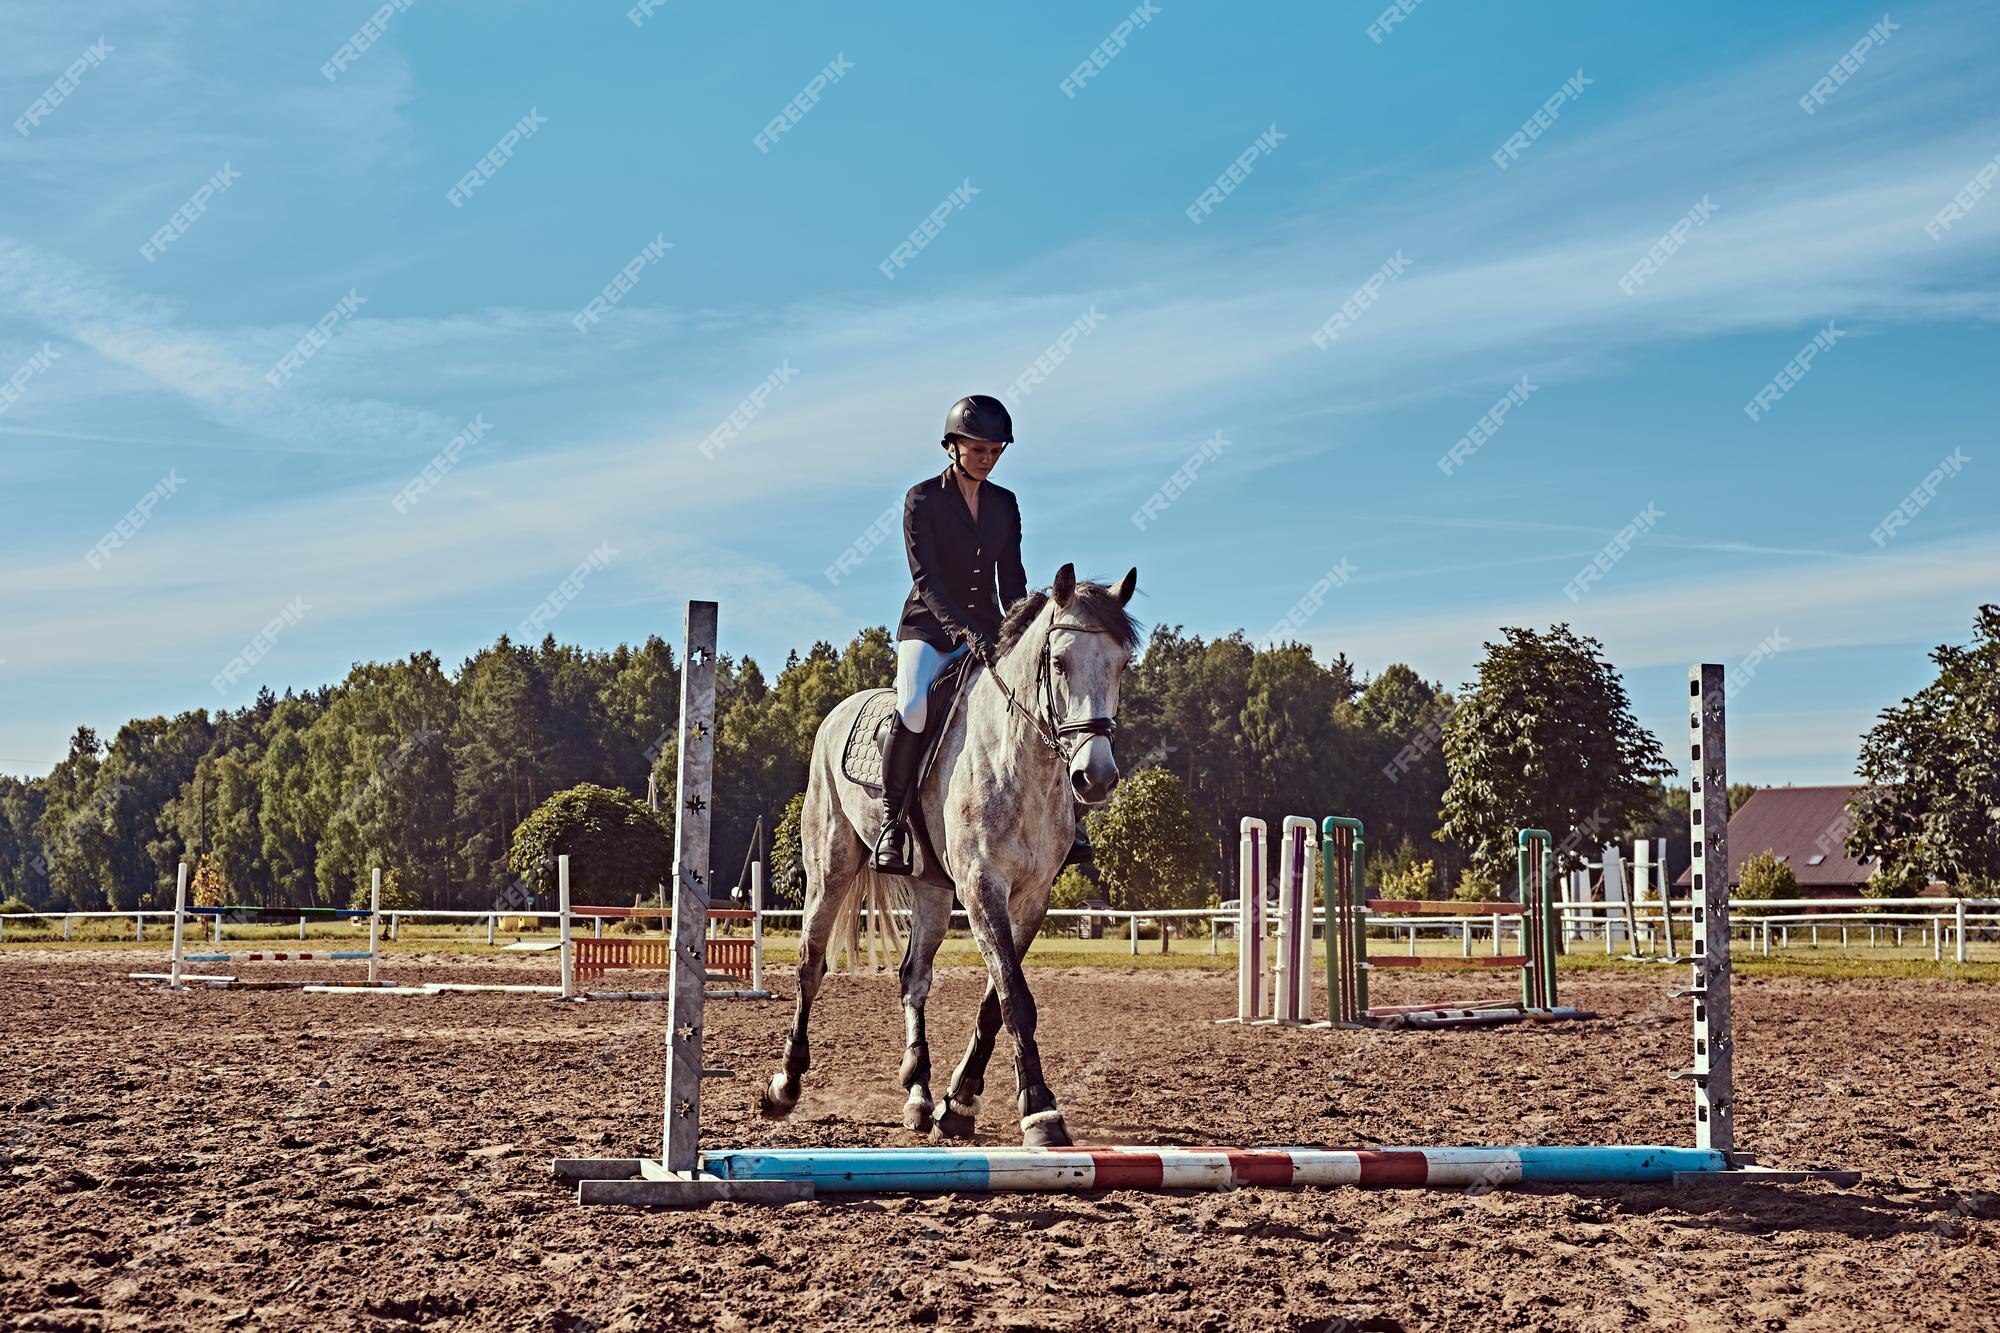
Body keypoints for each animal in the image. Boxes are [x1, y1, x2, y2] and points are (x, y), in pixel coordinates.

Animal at [760, 560, 1144, 1144]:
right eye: (1058, 662)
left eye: (1122, 665)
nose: (1095, 777)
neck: (1021, 764)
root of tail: (837, 711)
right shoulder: (982, 886)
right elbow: (1015, 999)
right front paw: (1041, 1111)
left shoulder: (1030, 898)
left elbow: (995, 1001)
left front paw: (958, 1102)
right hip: (830, 867)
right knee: (810, 963)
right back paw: (786, 1084)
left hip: (931, 889)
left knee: (913, 975)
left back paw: (918, 1092)